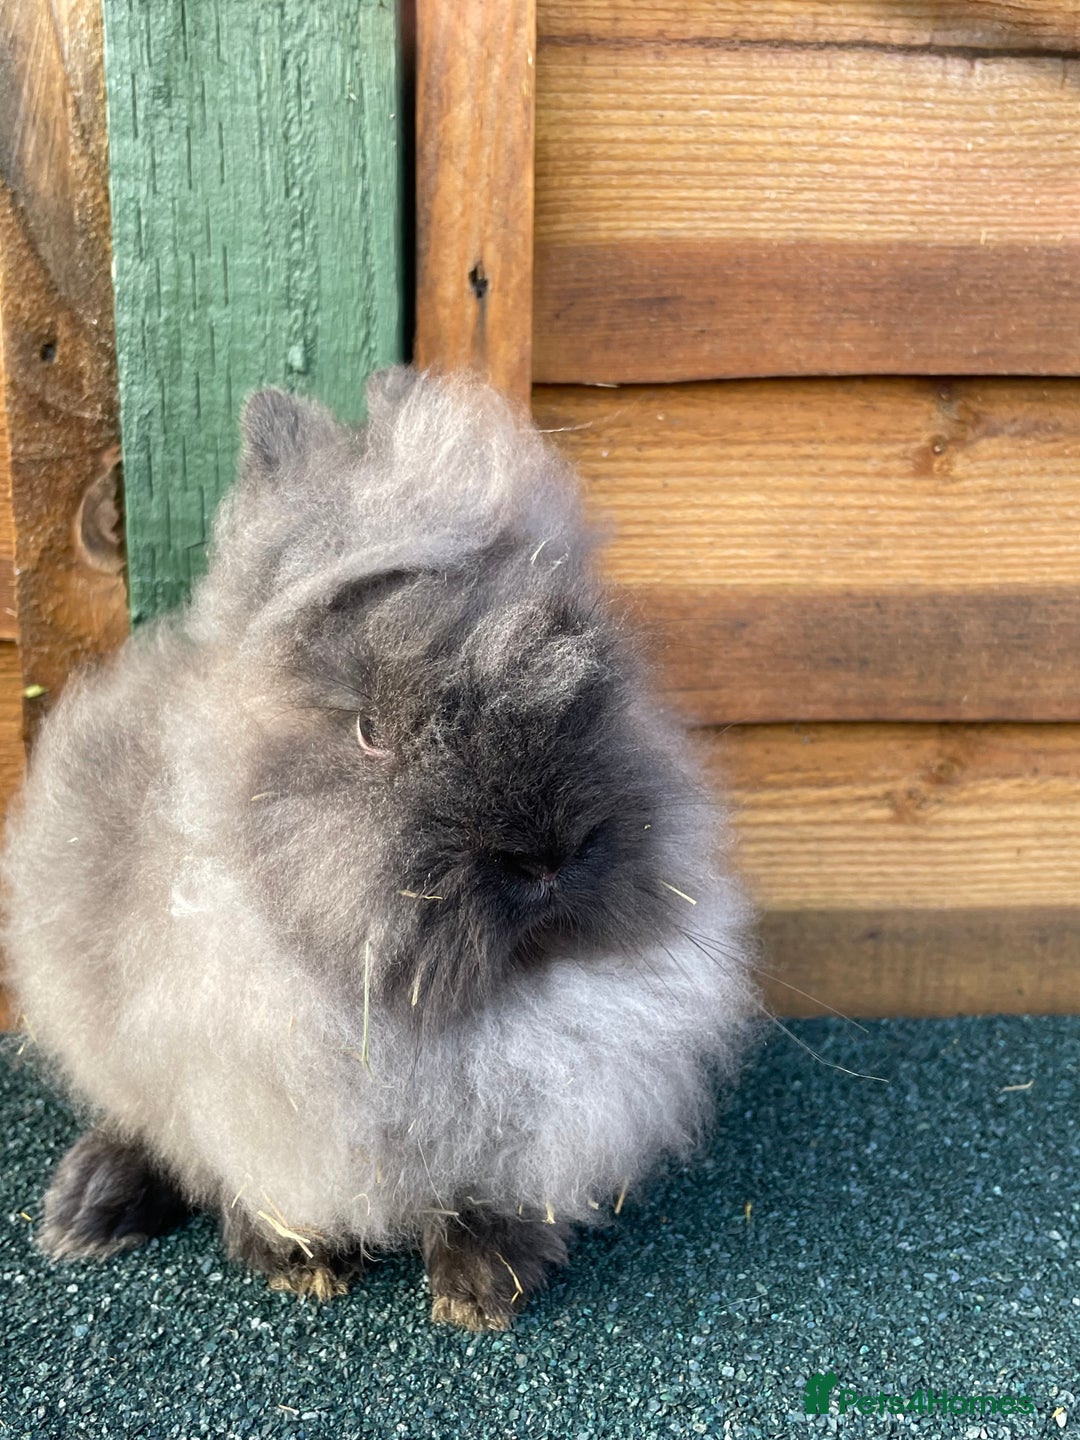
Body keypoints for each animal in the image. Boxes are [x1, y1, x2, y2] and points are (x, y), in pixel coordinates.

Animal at [1, 368, 759, 1330]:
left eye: (593, 686)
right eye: (370, 733)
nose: (548, 855)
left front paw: (483, 1287)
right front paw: (299, 1262)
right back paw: (86, 1211)